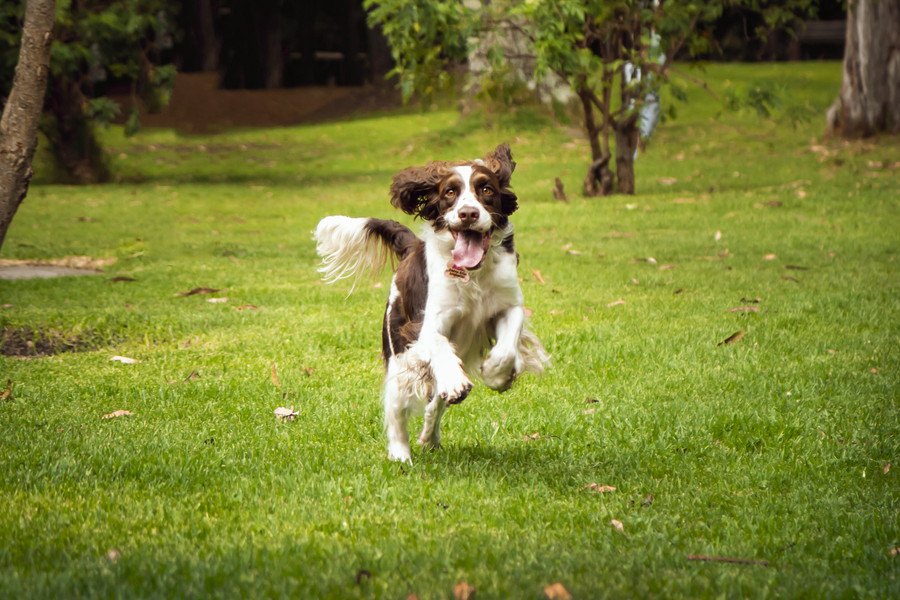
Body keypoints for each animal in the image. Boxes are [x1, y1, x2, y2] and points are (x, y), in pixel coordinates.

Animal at [312, 143, 544, 462]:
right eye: (450, 192)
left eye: (486, 189)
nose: (468, 214)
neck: (472, 274)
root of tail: (410, 246)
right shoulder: (426, 325)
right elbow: (439, 344)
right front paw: (458, 382)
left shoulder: (508, 304)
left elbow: (507, 347)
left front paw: (497, 375)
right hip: (399, 356)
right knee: (396, 410)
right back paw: (401, 455)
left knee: (435, 402)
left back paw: (430, 437)